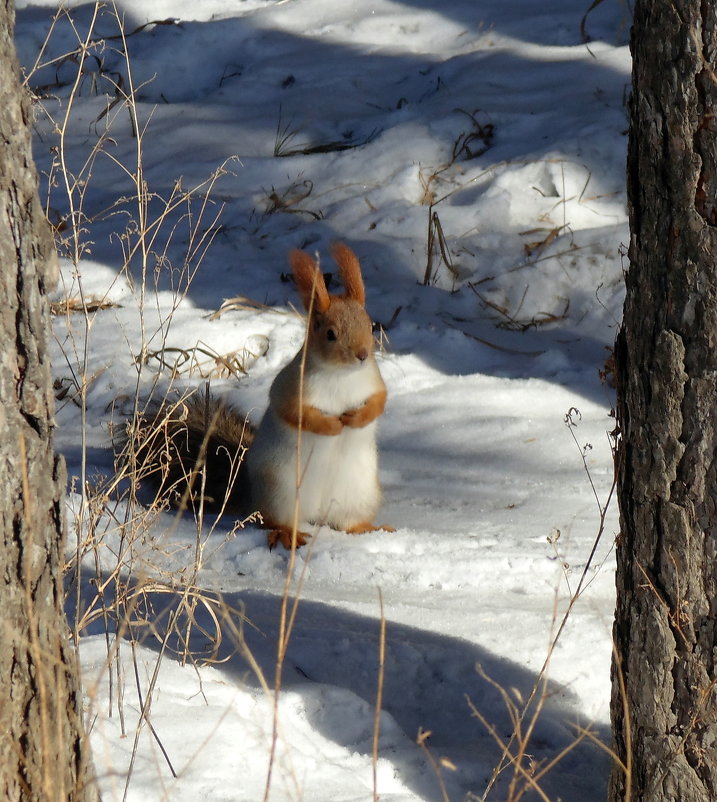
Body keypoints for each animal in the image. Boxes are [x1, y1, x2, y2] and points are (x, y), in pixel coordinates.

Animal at [126, 241, 388, 548]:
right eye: (330, 334)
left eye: (371, 326)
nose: (362, 354)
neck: (342, 375)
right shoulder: (291, 388)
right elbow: (296, 413)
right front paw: (332, 425)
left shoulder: (374, 381)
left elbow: (379, 402)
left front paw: (357, 418)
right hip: (282, 492)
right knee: (273, 520)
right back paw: (289, 534)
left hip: (358, 494)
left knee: (347, 522)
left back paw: (369, 529)